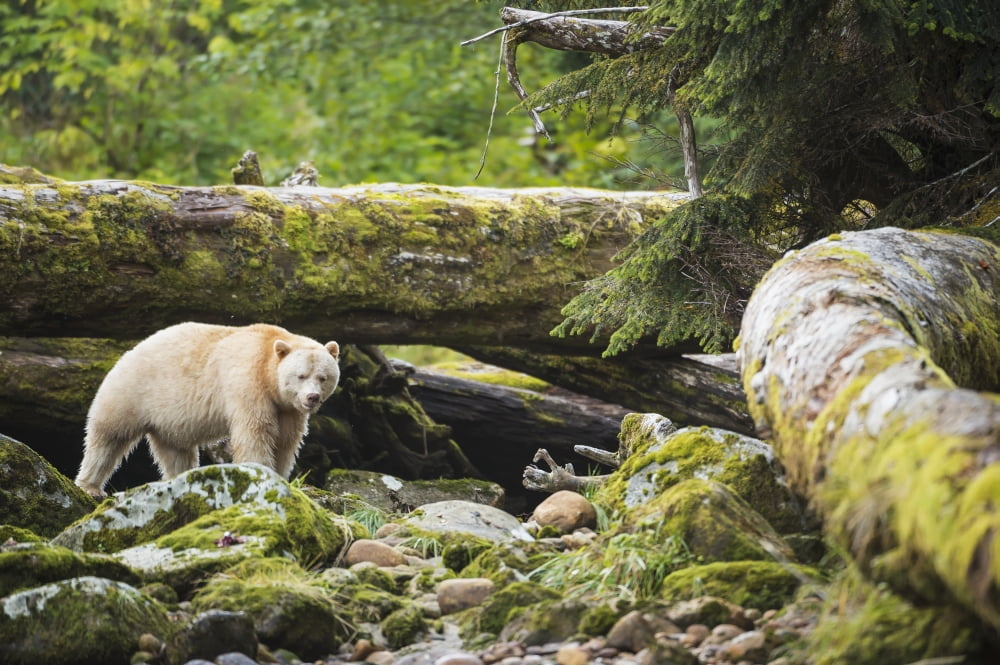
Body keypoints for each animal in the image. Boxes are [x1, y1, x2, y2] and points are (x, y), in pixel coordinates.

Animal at [74, 322, 340, 498]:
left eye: (323, 377)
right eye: (301, 375)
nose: (312, 398)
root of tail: (128, 352)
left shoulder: (288, 410)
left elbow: (285, 442)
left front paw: (281, 474)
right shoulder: (248, 384)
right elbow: (256, 432)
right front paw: (262, 472)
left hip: (168, 418)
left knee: (176, 452)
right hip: (132, 392)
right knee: (109, 437)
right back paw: (91, 486)